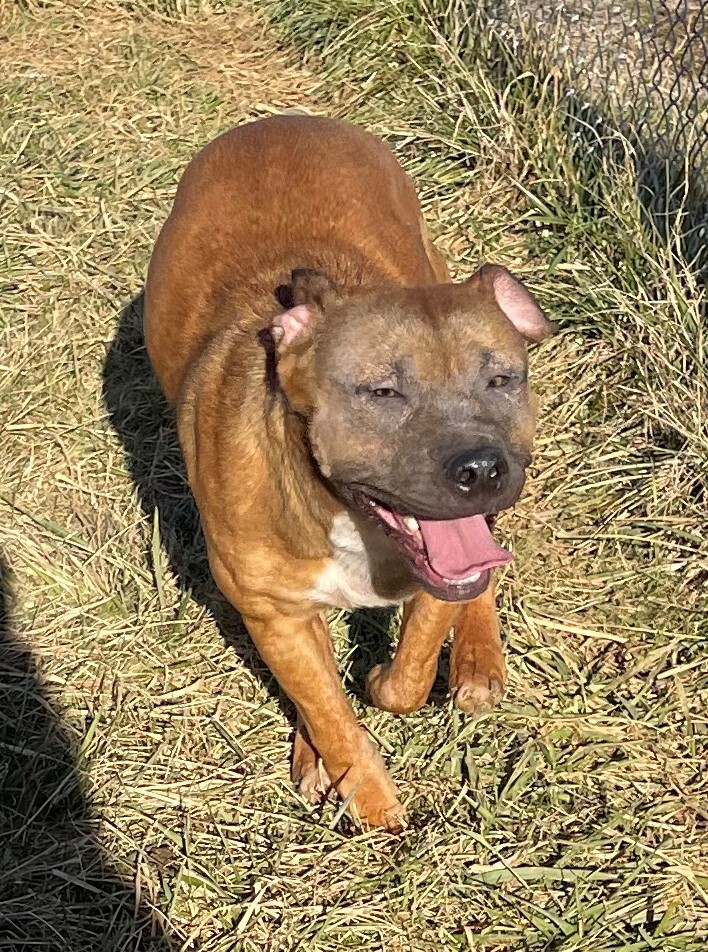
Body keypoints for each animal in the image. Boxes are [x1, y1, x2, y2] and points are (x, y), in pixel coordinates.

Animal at [144, 115, 552, 828]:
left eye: (502, 380)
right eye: (382, 393)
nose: (481, 466)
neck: (342, 514)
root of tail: (283, 121)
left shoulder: (438, 576)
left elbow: (410, 673)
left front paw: (383, 682)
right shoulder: (273, 614)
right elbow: (328, 710)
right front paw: (370, 801)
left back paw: (477, 661)